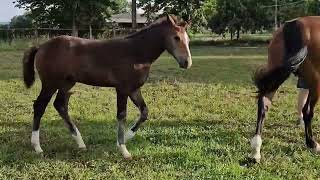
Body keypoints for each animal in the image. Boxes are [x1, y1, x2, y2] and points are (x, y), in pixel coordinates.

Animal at [23, 15, 192, 159]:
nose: (187, 63)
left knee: (60, 105)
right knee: (40, 106)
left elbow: (144, 112)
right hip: (50, 83)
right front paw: (123, 149)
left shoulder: (134, 89)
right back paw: (37, 147)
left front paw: (127, 137)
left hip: (67, 83)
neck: (136, 52)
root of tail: (41, 46)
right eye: (176, 37)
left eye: (188, 39)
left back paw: (80, 143)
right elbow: (122, 115)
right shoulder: (122, 88)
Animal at [249, 16, 320, 163]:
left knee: (263, 105)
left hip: (276, 74)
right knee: (308, 112)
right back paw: (312, 144)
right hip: (316, 81)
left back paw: (255, 151)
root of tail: (297, 25)